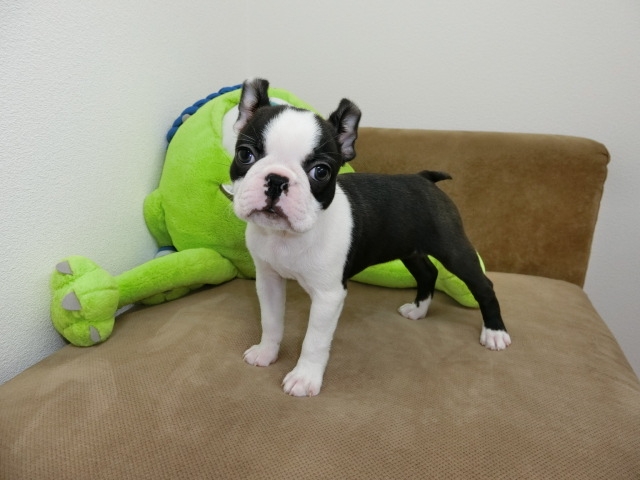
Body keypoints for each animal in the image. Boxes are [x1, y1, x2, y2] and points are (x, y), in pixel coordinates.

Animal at [228, 78, 511, 397]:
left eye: (320, 171)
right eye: (245, 155)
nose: (277, 179)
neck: (287, 237)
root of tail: (424, 178)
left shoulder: (328, 296)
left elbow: (314, 340)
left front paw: (304, 378)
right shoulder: (269, 281)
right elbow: (271, 321)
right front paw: (266, 352)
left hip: (453, 249)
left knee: (482, 284)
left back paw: (495, 332)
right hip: (410, 249)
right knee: (428, 272)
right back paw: (418, 310)